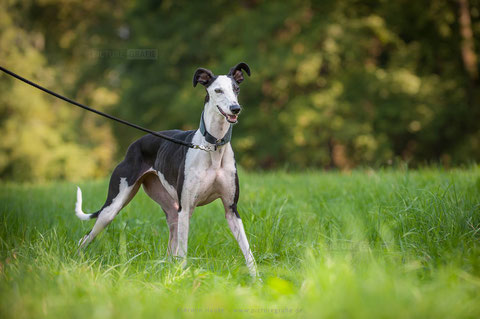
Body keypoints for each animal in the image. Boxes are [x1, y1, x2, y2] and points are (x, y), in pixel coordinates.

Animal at [73, 62, 256, 278]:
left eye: (236, 89)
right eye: (218, 90)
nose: (235, 108)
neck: (213, 147)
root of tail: (134, 145)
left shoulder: (231, 210)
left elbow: (247, 249)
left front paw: (257, 278)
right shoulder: (187, 208)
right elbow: (184, 252)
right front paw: (184, 277)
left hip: (171, 210)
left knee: (171, 250)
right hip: (113, 207)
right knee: (85, 237)